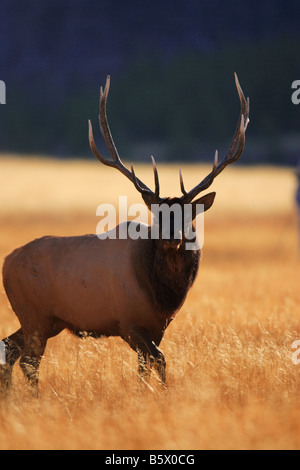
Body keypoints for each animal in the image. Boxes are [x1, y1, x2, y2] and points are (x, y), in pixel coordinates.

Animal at [0, 74, 248, 396]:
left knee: (8, 348)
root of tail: (6, 262)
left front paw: (148, 394)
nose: (171, 236)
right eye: (157, 214)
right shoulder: (128, 322)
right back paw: (36, 398)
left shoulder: (158, 325)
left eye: (189, 215)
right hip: (34, 315)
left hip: (47, 320)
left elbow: (146, 366)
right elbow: (159, 359)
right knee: (28, 360)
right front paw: (161, 395)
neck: (163, 295)